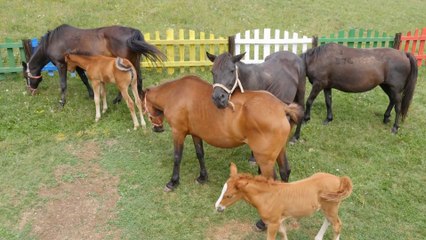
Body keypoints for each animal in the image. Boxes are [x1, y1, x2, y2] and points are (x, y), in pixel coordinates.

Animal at [21, 23, 165, 106]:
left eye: (26, 77)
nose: (30, 91)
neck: (52, 41)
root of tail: (133, 33)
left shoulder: (61, 65)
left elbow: (63, 84)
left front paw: (62, 102)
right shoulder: (77, 66)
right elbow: (84, 79)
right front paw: (91, 95)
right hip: (134, 62)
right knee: (138, 80)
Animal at [143, 75, 302, 191]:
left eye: (144, 106)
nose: (157, 128)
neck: (176, 93)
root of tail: (281, 107)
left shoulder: (178, 132)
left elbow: (177, 157)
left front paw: (173, 181)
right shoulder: (196, 134)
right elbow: (200, 154)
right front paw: (202, 177)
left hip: (264, 159)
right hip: (279, 151)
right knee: (285, 171)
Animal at [216, 163, 352, 240]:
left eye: (229, 196)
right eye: (222, 189)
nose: (217, 207)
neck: (267, 196)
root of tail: (339, 179)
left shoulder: (273, 223)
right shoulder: (279, 221)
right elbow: (283, 234)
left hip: (331, 206)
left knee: (337, 224)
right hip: (327, 207)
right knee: (328, 221)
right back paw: (318, 238)